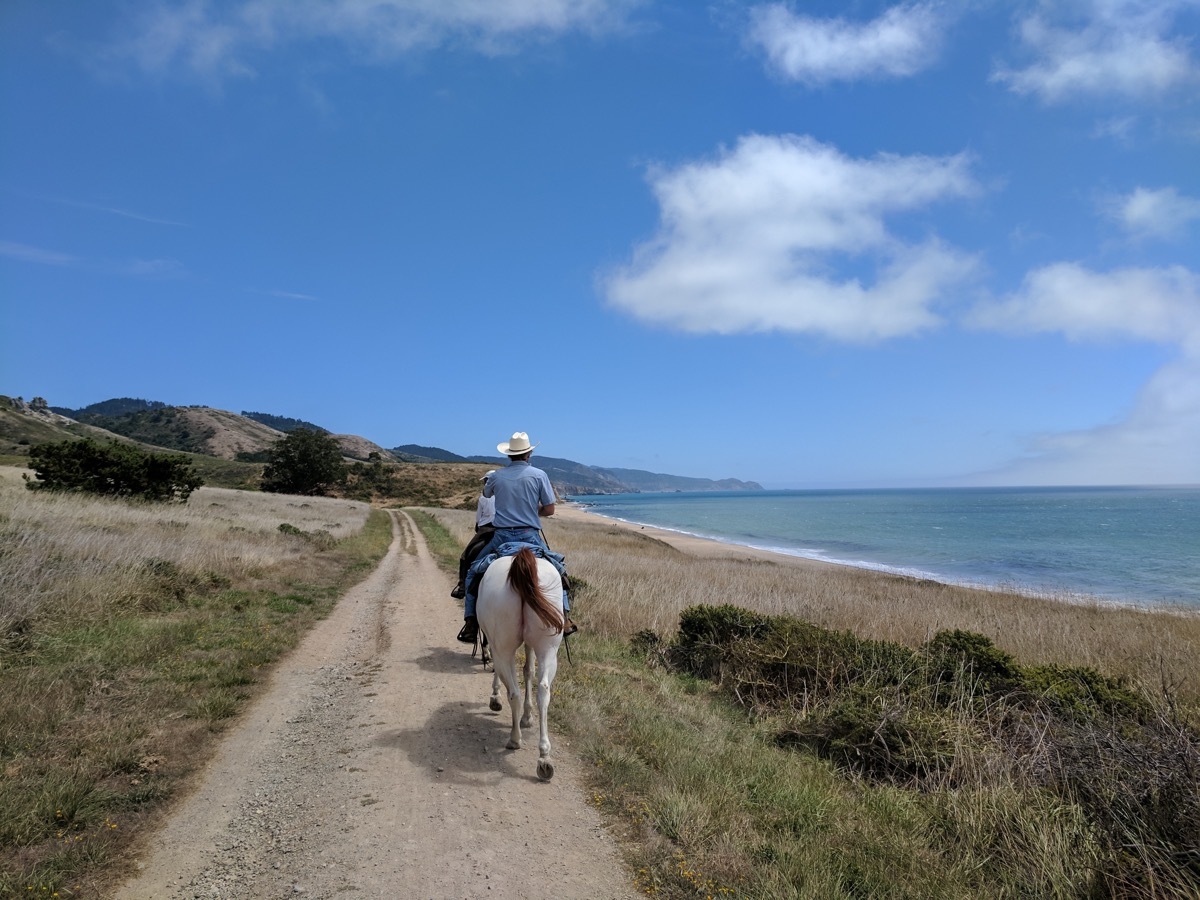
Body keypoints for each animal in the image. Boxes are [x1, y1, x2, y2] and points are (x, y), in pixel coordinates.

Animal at [475, 549, 564, 782]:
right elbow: (529, 671)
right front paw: (527, 716)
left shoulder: (495, 645)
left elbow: (502, 673)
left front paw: (495, 698)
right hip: (549, 649)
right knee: (543, 689)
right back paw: (544, 757)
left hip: (504, 649)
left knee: (513, 692)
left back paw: (515, 739)